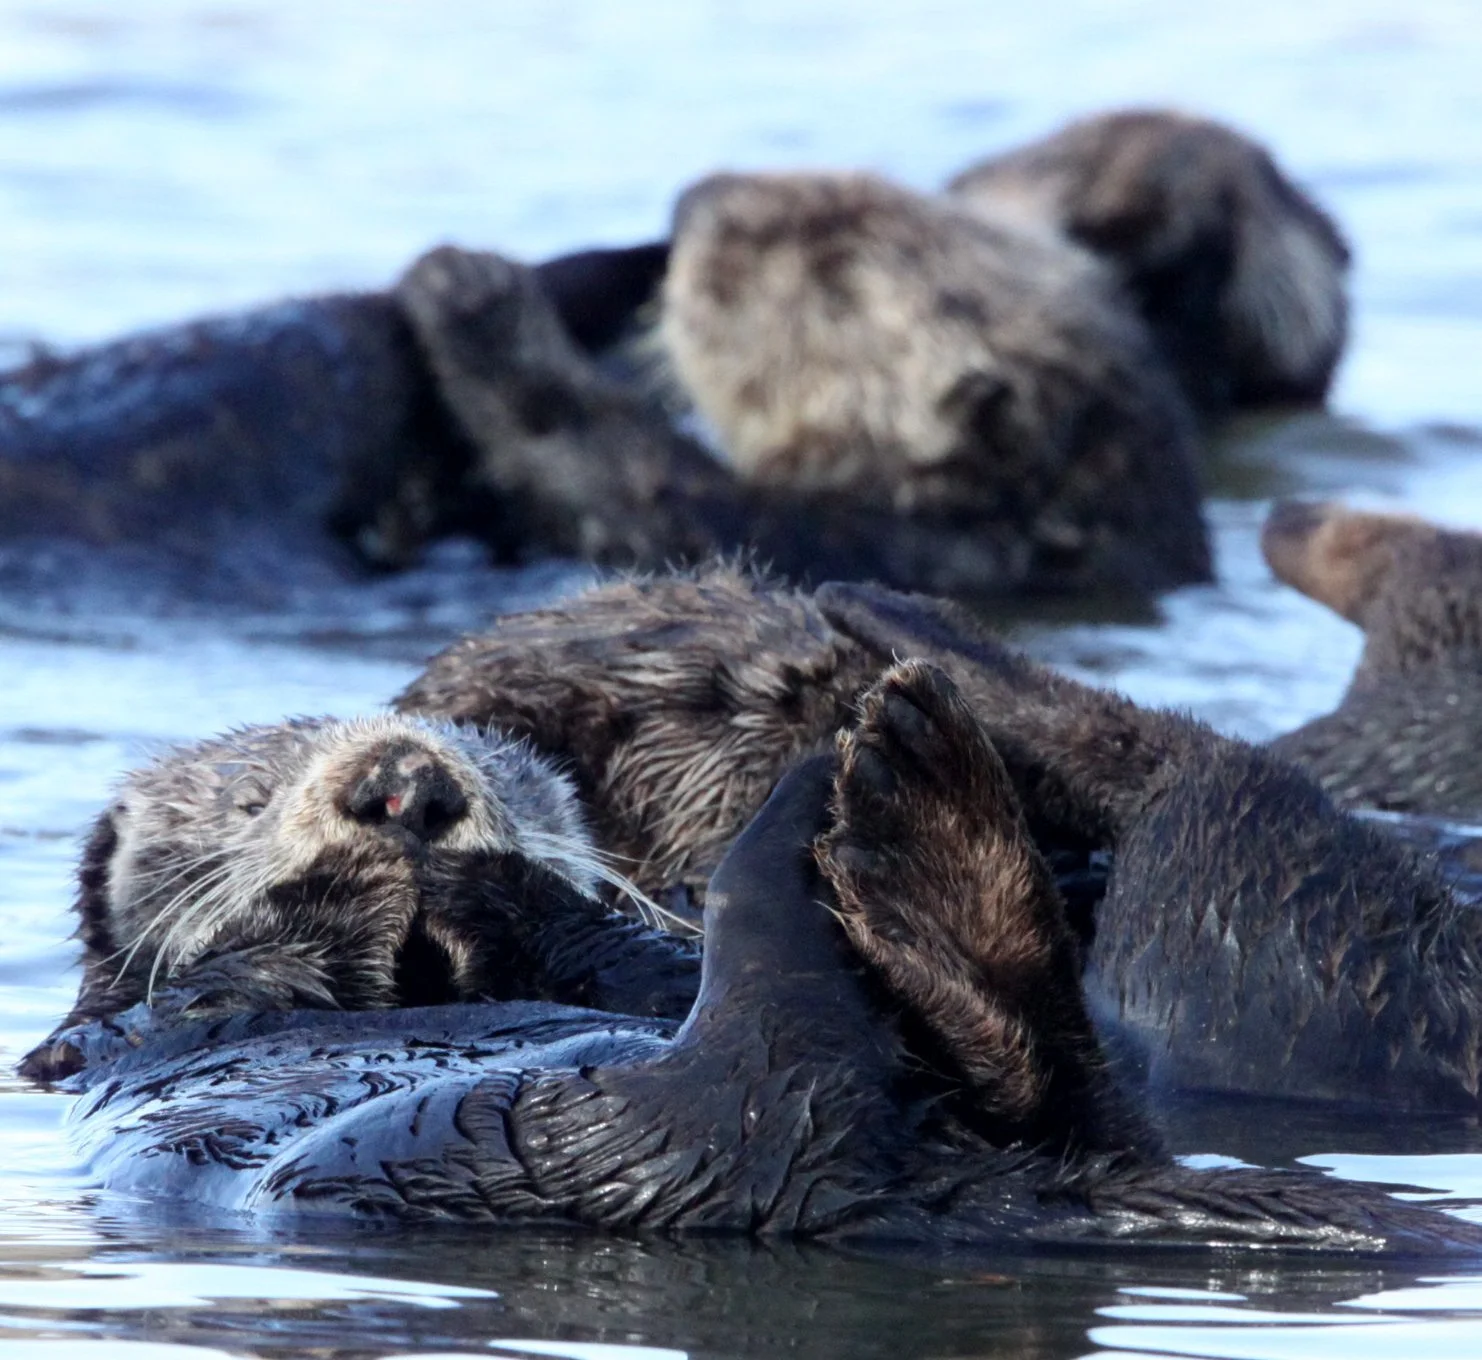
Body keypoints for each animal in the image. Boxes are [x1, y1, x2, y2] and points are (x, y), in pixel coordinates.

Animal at [17, 712, 699, 1082]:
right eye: (251, 802)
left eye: (501, 778)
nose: (409, 787)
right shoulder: (85, 1044)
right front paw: (340, 885)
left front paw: (493, 887)